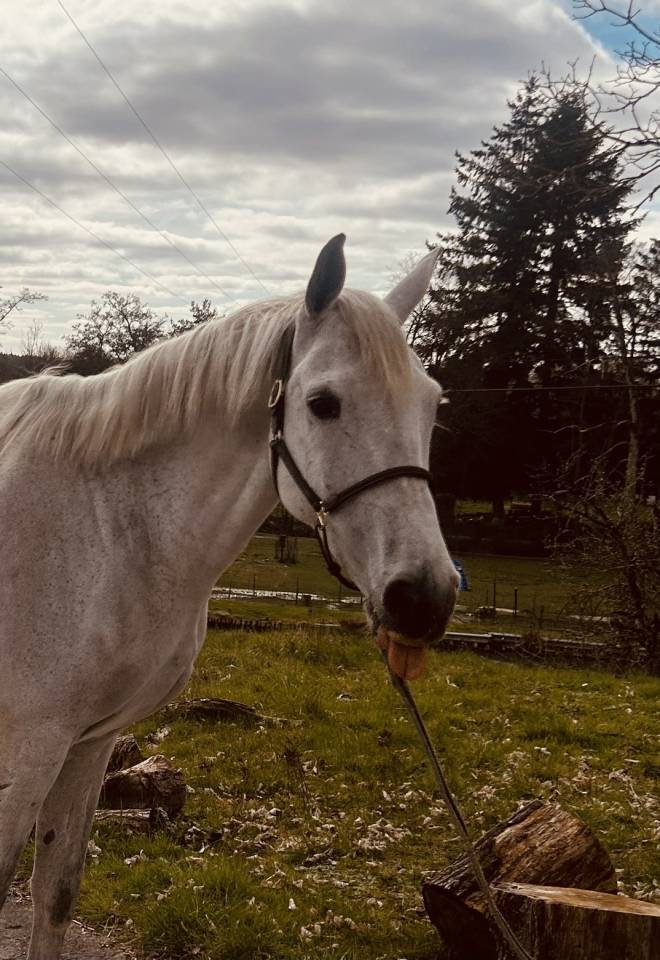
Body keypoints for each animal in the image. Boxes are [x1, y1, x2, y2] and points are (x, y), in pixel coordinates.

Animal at [0, 234, 458, 959]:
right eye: (322, 403)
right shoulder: (26, 750)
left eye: (431, 402)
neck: (103, 528)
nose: (425, 596)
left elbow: (56, 896)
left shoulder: (86, 744)